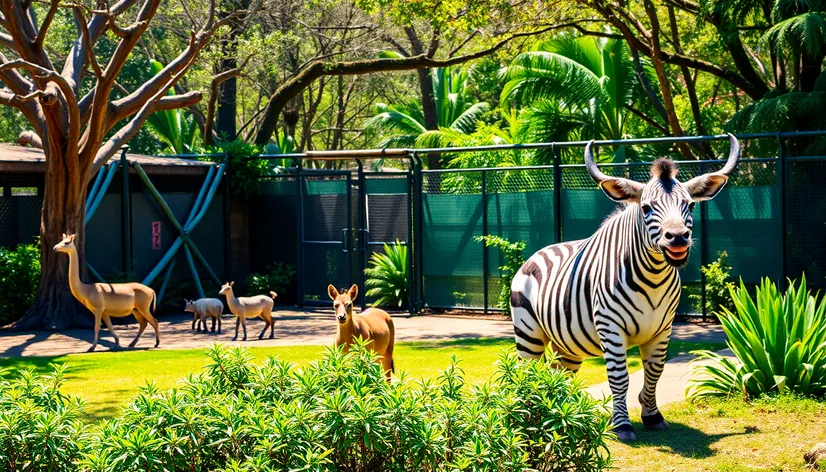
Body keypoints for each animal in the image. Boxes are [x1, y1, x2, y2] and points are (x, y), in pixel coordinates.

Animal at [512, 134, 736, 442]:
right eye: (646, 208)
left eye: (690, 206)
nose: (678, 238)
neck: (653, 278)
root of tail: (538, 252)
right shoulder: (611, 327)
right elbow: (619, 377)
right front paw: (622, 425)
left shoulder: (663, 329)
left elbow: (654, 371)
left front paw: (652, 415)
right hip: (528, 335)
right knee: (527, 372)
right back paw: (530, 414)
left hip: (565, 345)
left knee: (559, 375)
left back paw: (560, 413)